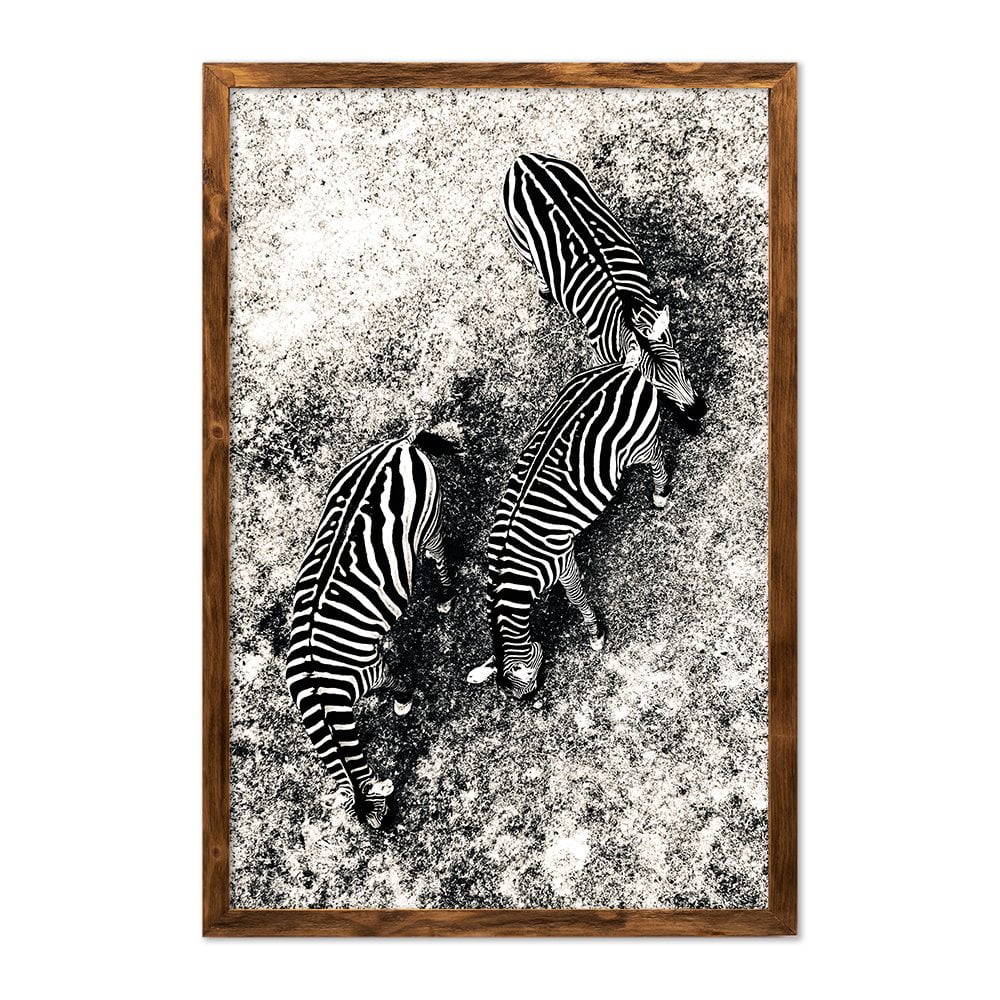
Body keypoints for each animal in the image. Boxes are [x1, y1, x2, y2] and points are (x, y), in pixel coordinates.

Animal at [285, 429, 458, 829]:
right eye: (373, 824)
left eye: (383, 816)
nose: (389, 832)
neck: (321, 694)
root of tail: (400, 445)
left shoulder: (370, 668)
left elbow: (393, 680)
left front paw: (403, 701)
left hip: (428, 520)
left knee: (439, 554)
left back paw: (445, 596)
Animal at [467, 354, 702, 698]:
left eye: (527, 689)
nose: (536, 702)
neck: (515, 574)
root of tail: (626, 367)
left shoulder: (563, 561)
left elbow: (576, 598)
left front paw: (596, 633)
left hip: (638, 445)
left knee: (658, 457)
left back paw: (660, 494)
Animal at [502, 152, 706, 432]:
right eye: (655, 387)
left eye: (682, 365)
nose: (699, 411)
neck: (627, 317)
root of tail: (524, 160)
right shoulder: (603, 357)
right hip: (521, 241)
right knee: (535, 266)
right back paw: (545, 290)